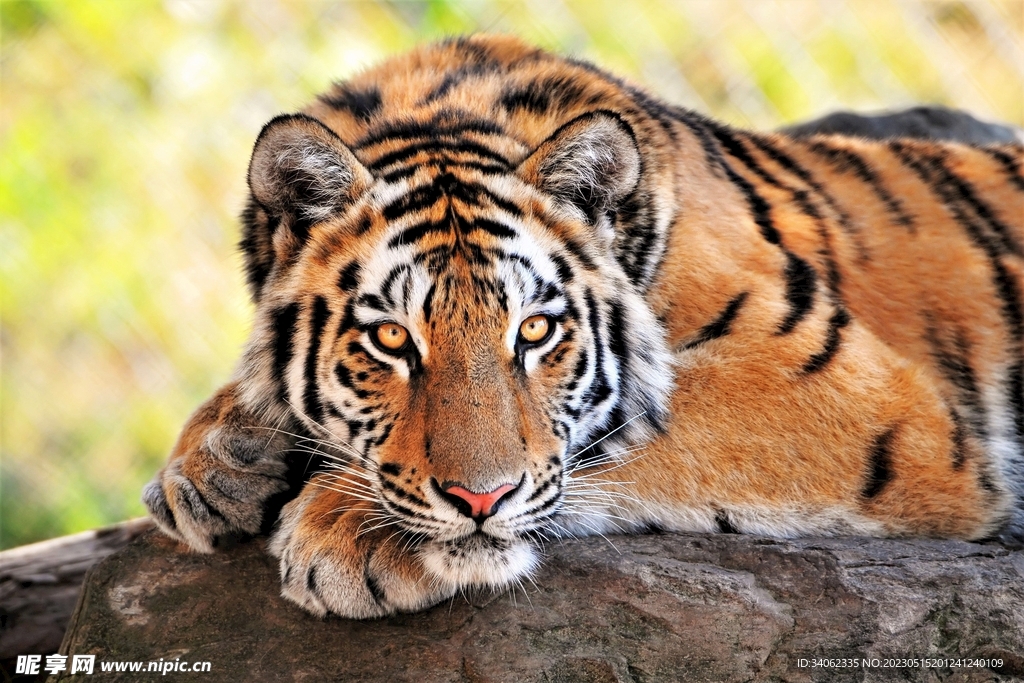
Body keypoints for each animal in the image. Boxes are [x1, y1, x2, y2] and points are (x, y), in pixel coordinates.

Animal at [143, 35, 1024, 619]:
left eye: (535, 332)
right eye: (391, 339)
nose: (480, 498)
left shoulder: (857, 394)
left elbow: (620, 435)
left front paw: (347, 529)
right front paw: (214, 461)